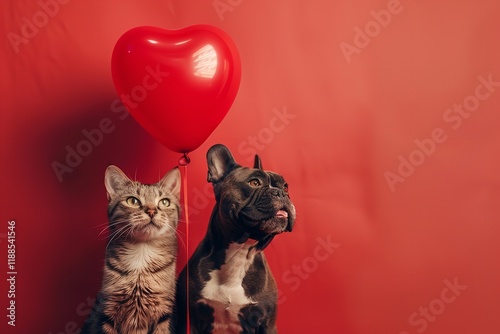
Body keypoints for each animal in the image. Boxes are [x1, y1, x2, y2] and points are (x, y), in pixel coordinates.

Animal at [82, 165, 182, 334]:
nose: (151, 211)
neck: (142, 251)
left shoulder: (164, 313)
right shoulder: (108, 309)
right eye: (133, 201)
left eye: (165, 202)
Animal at [176, 144, 294, 334]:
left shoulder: (267, 323)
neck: (239, 253)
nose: (282, 193)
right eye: (254, 183)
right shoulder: (189, 318)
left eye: (286, 187)